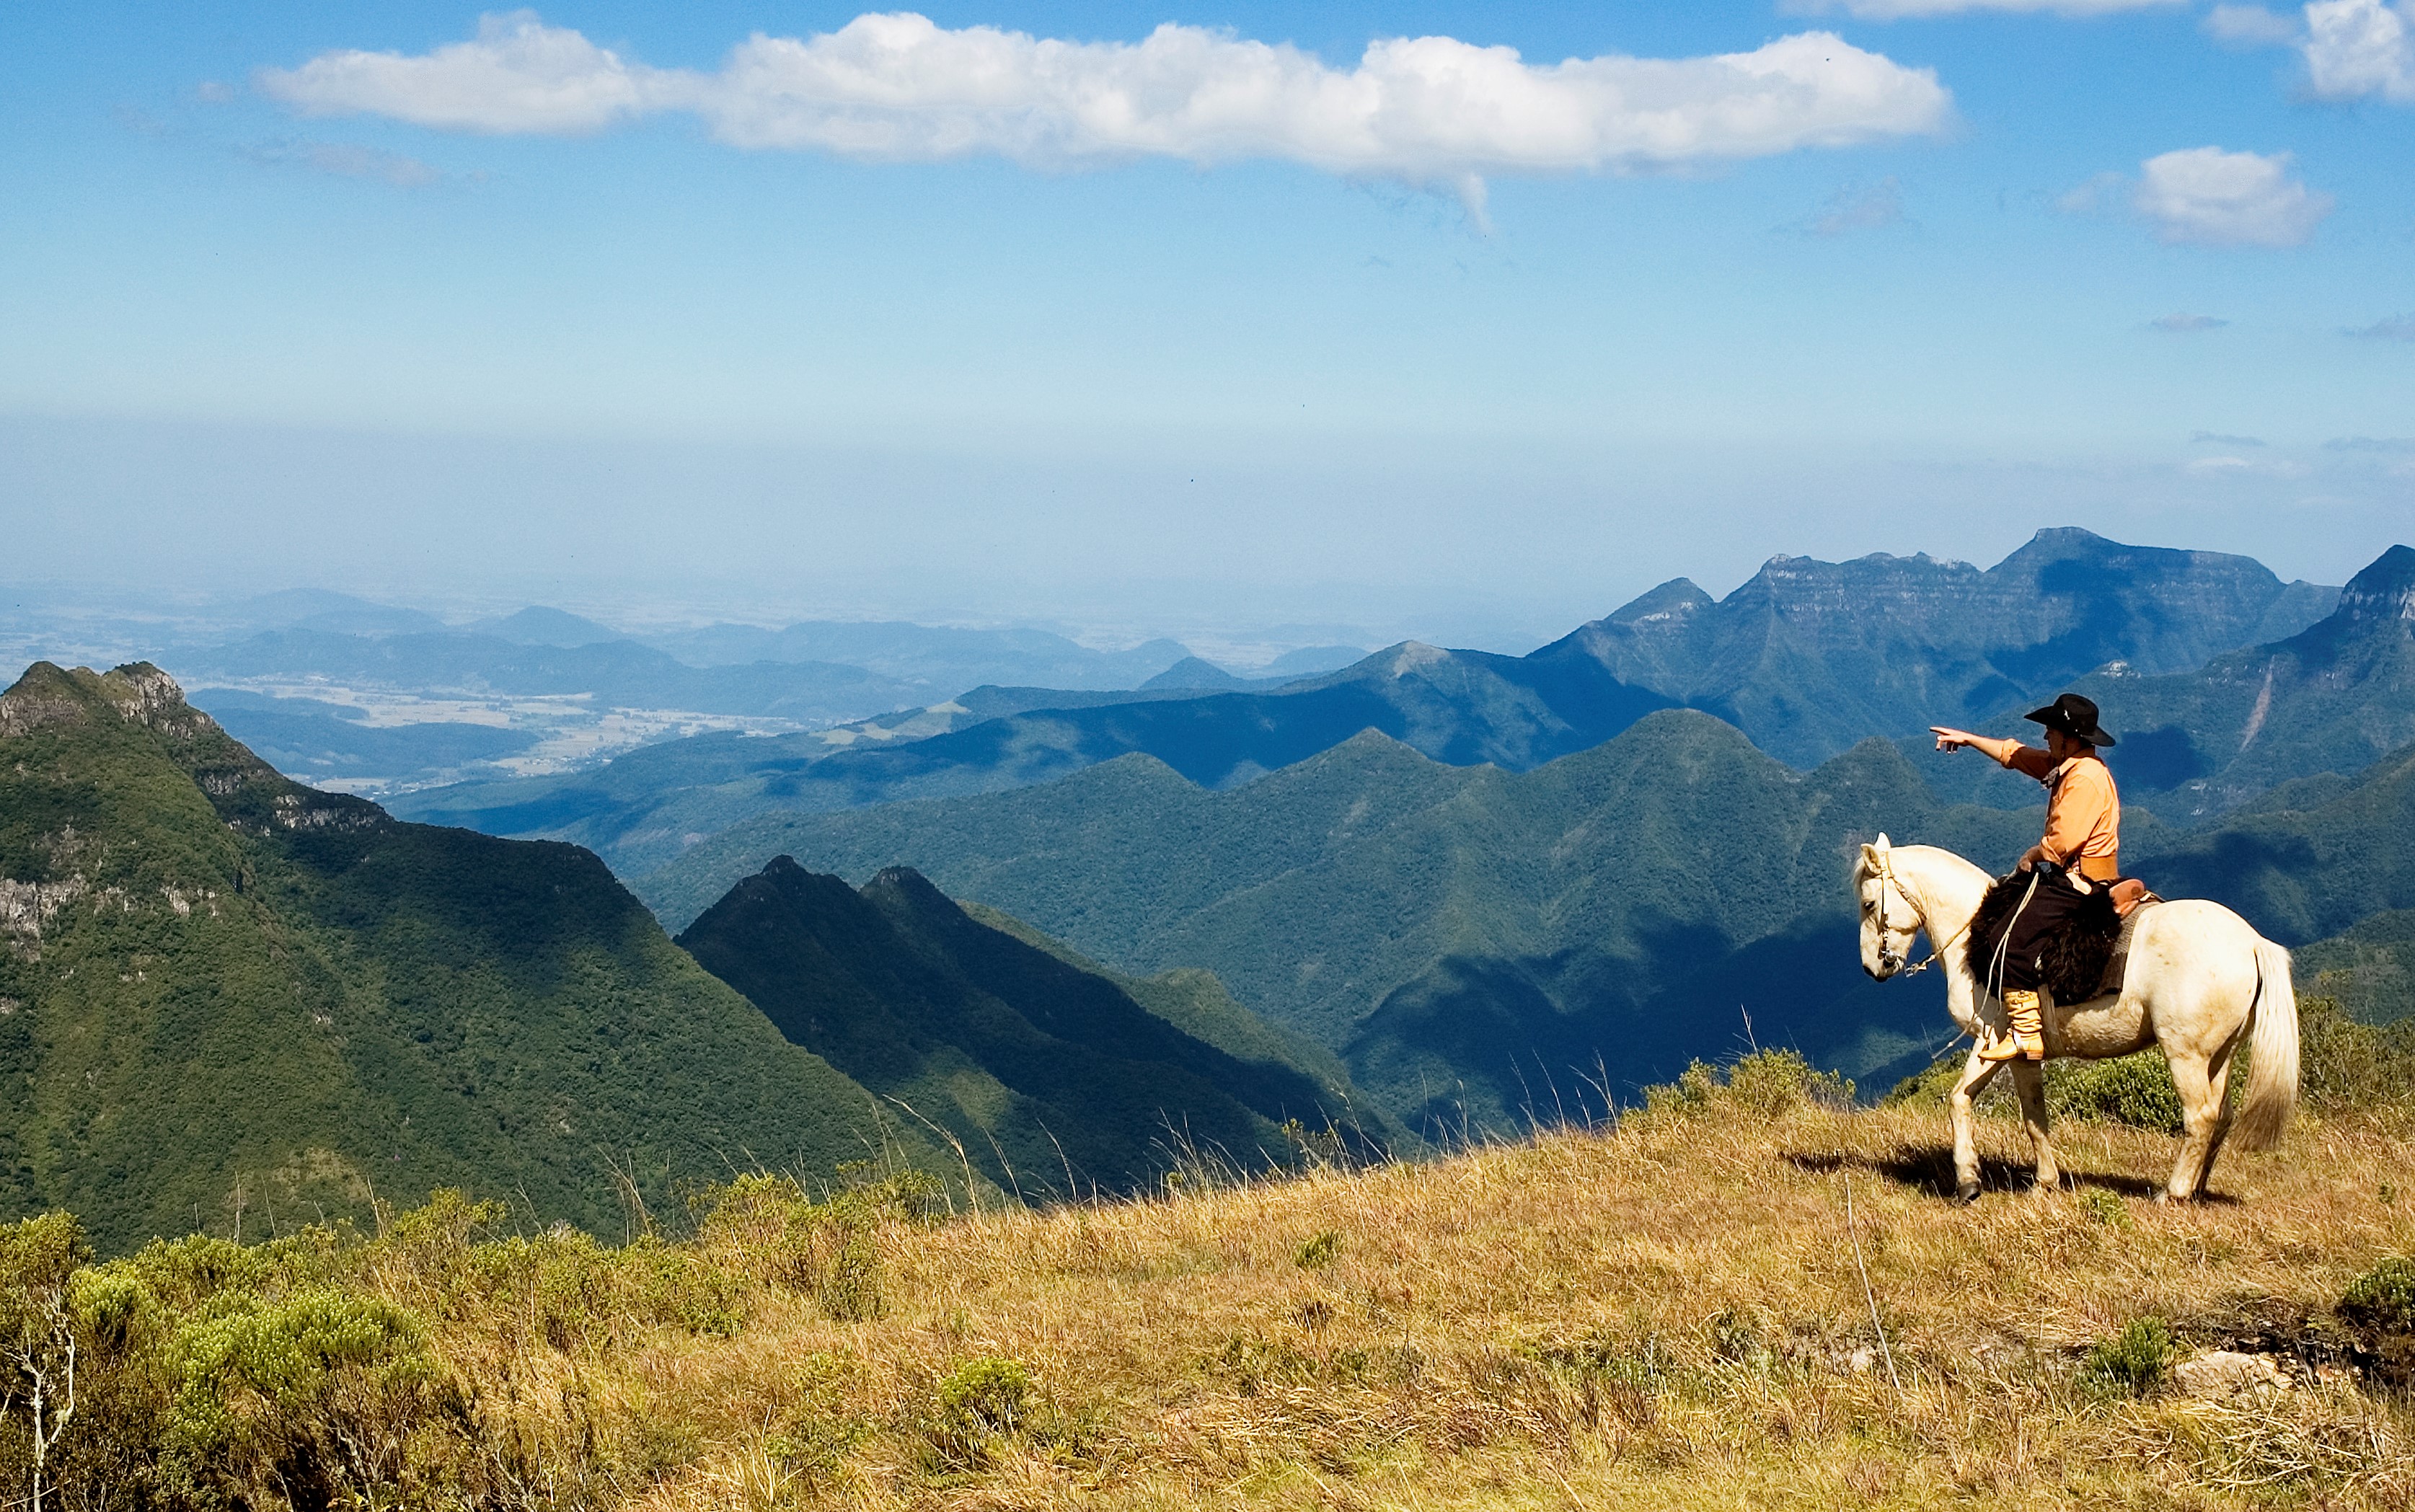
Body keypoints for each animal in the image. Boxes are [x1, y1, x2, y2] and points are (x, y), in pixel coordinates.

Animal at [1852, 835, 2298, 1204]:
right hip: (2220, 1053)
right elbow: (1984, 1105)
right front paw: (1994, 1182)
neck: (1974, 935)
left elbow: (2011, 1111)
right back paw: (2198, 1188)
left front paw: (2005, 1183)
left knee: (2201, 1117)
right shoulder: (2004, 1050)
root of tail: (2252, 942)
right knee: (2221, 1116)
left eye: (1870, 904)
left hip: (2185, 1053)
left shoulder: (1999, 1041)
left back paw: (2172, 1193)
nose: (1873, 968)